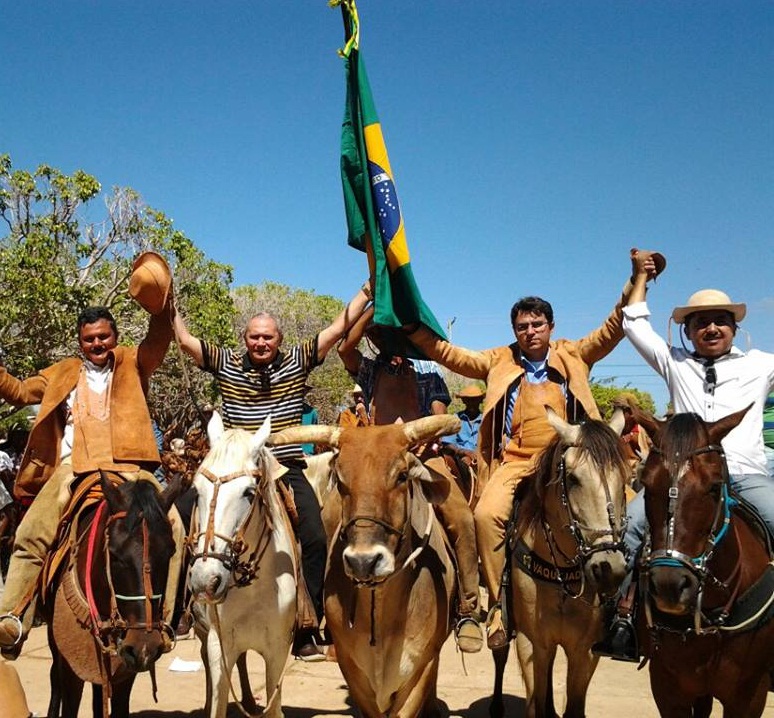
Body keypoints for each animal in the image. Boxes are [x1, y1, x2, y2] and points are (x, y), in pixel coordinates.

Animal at [44, 472, 182, 718]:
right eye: (114, 554)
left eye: (170, 552)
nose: (145, 645)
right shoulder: (71, 666)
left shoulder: (125, 670)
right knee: (54, 680)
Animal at [188, 414, 298, 718]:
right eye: (196, 490)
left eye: (249, 492)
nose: (205, 580)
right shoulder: (219, 645)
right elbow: (218, 703)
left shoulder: (278, 651)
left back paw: (248, 700)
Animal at [494, 408, 632, 718]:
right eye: (573, 478)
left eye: (625, 478)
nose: (609, 569)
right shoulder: (531, 643)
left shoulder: (585, 651)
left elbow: (574, 708)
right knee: (500, 655)